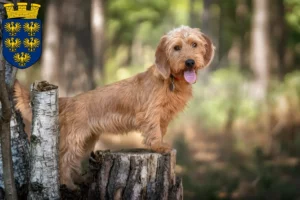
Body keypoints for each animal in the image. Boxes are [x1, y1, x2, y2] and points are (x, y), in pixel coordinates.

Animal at [14, 25, 214, 190]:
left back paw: (79, 180)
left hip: (88, 140)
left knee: (74, 162)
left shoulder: (163, 117)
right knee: (64, 161)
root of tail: (69, 99)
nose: (190, 62)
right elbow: (154, 131)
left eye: (194, 44)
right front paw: (158, 146)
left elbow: (160, 130)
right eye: (176, 47)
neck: (171, 80)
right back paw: (68, 185)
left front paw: (161, 144)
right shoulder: (151, 113)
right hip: (74, 139)